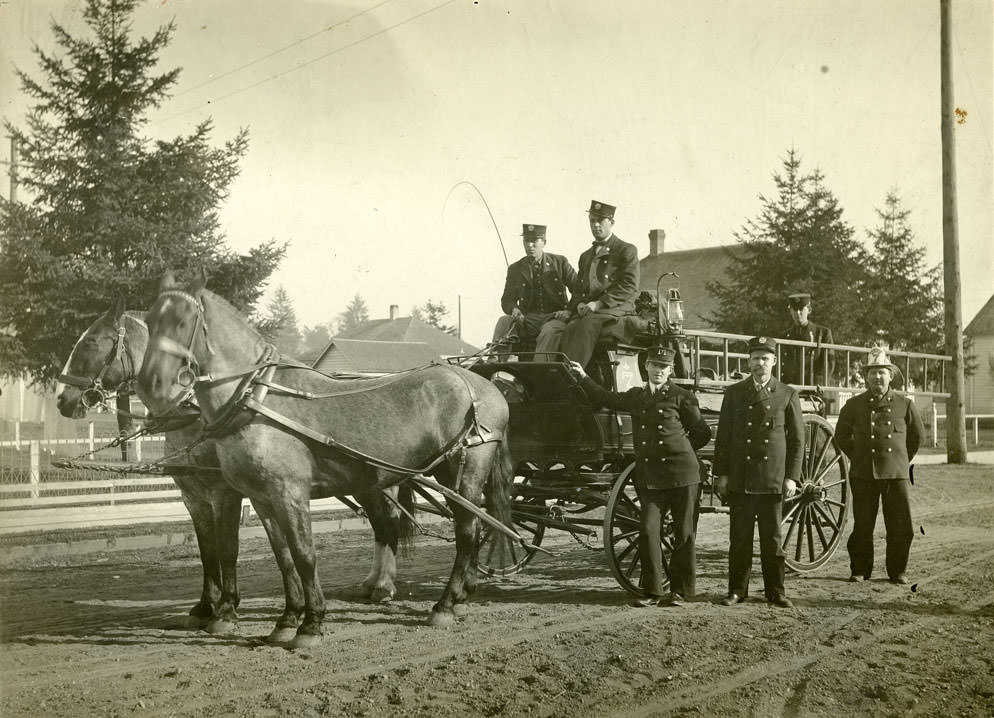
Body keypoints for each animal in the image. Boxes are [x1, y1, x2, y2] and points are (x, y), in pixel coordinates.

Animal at [56, 298, 418, 648]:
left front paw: (227, 611)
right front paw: (205, 607)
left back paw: (383, 585)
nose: (62, 399)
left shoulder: (224, 492)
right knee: (381, 525)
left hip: (376, 483)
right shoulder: (193, 496)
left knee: (385, 523)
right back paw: (373, 584)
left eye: (91, 342)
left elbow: (228, 549)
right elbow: (207, 551)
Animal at [135, 272, 512, 648]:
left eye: (183, 322)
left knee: (467, 532)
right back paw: (456, 597)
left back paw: (445, 605)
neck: (258, 400)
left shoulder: (286, 494)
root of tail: (483, 385)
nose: (150, 385)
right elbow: (283, 557)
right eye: (150, 321)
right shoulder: (261, 499)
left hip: (464, 474)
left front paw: (310, 623)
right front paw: (287, 618)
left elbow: (304, 555)